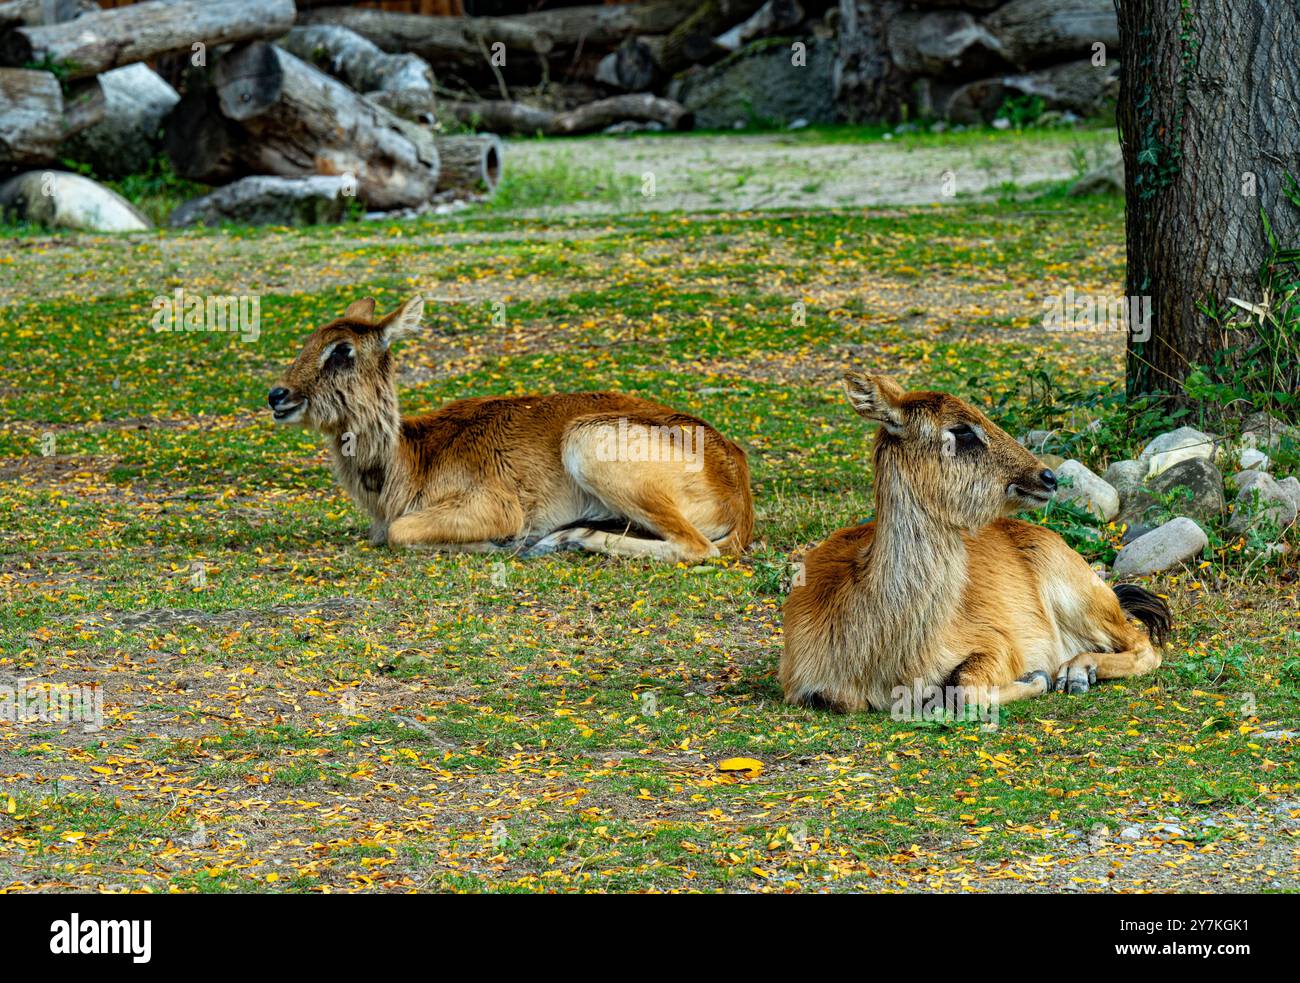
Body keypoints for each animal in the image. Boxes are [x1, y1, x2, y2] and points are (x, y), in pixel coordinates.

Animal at [263, 293, 754, 561]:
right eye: (309, 339)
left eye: (341, 350)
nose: (277, 395)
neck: (412, 459)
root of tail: (738, 487)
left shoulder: (493, 504)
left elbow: (402, 534)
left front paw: (501, 544)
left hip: (588, 442)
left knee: (699, 547)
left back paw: (565, 539)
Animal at [774, 371, 1175, 712]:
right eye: (962, 429)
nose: (1047, 477)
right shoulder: (803, 686)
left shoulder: (996, 641)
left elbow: (964, 688)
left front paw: (1038, 676)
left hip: (1082, 598)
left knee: (1145, 644)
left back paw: (1073, 673)